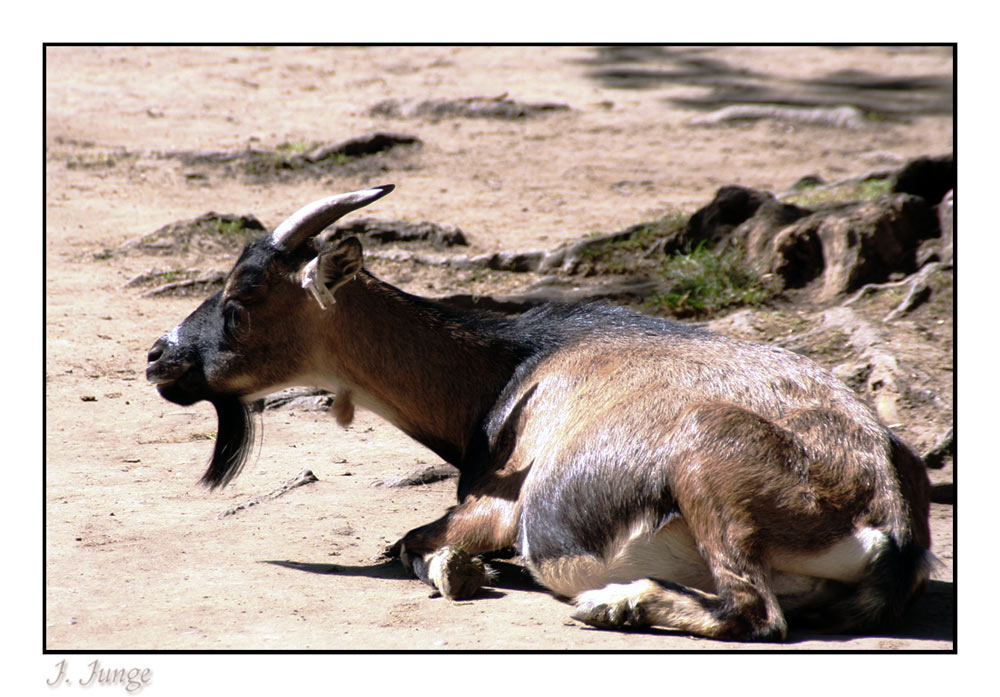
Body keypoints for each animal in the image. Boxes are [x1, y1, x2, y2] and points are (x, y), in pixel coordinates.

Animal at [145, 182, 932, 640]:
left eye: (243, 296)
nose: (159, 356)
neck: (510, 365)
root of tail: (887, 514)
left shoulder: (497, 507)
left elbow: (412, 542)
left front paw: (456, 571)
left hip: (709, 470)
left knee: (756, 611)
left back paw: (615, 604)